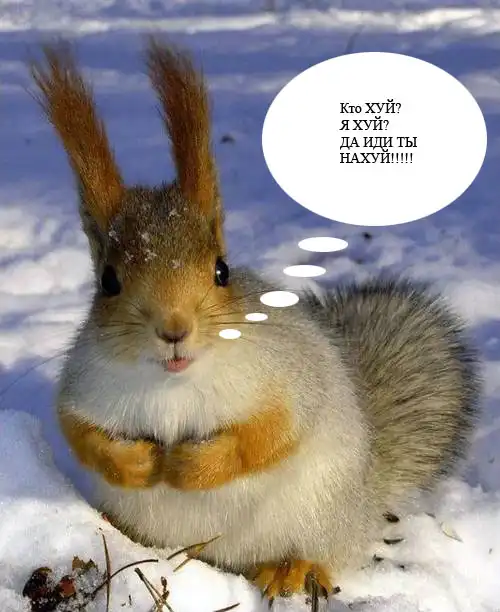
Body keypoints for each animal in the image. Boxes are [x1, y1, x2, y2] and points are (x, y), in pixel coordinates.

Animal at [29, 38, 480, 601]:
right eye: (108, 282)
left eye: (221, 269)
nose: (174, 331)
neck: (174, 385)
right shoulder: (84, 383)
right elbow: (79, 431)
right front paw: (135, 463)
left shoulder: (288, 375)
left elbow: (271, 433)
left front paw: (190, 466)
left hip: (317, 514)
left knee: (316, 549)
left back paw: (293, 569)